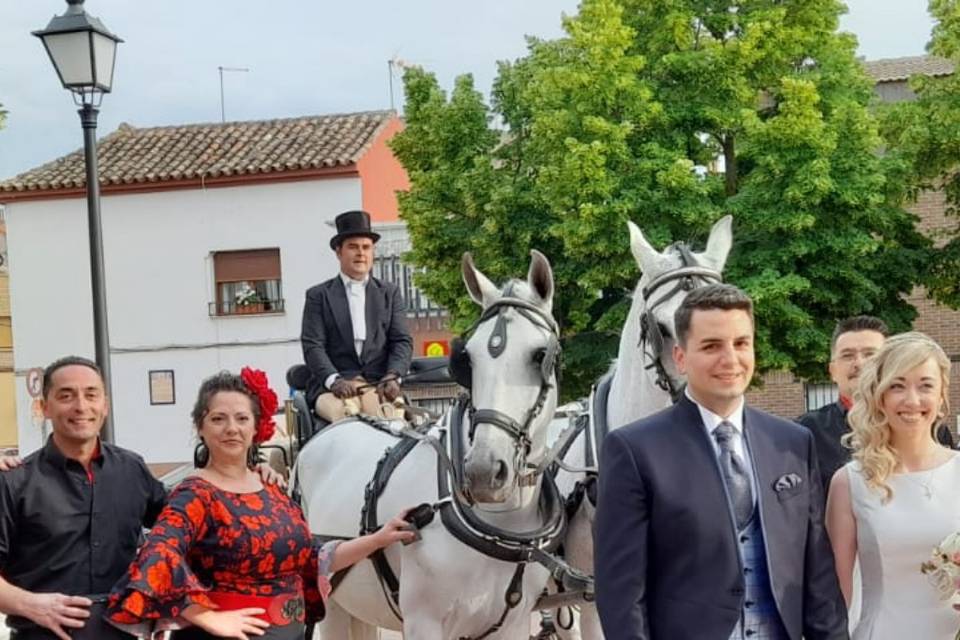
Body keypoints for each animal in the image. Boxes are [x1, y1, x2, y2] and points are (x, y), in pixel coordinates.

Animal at [300, 250, 568, 640]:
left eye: (540, 355)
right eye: (467, 358)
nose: (484, 472)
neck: (502, 522)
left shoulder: (512, 624)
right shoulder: (423, 622)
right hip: (331, 595)